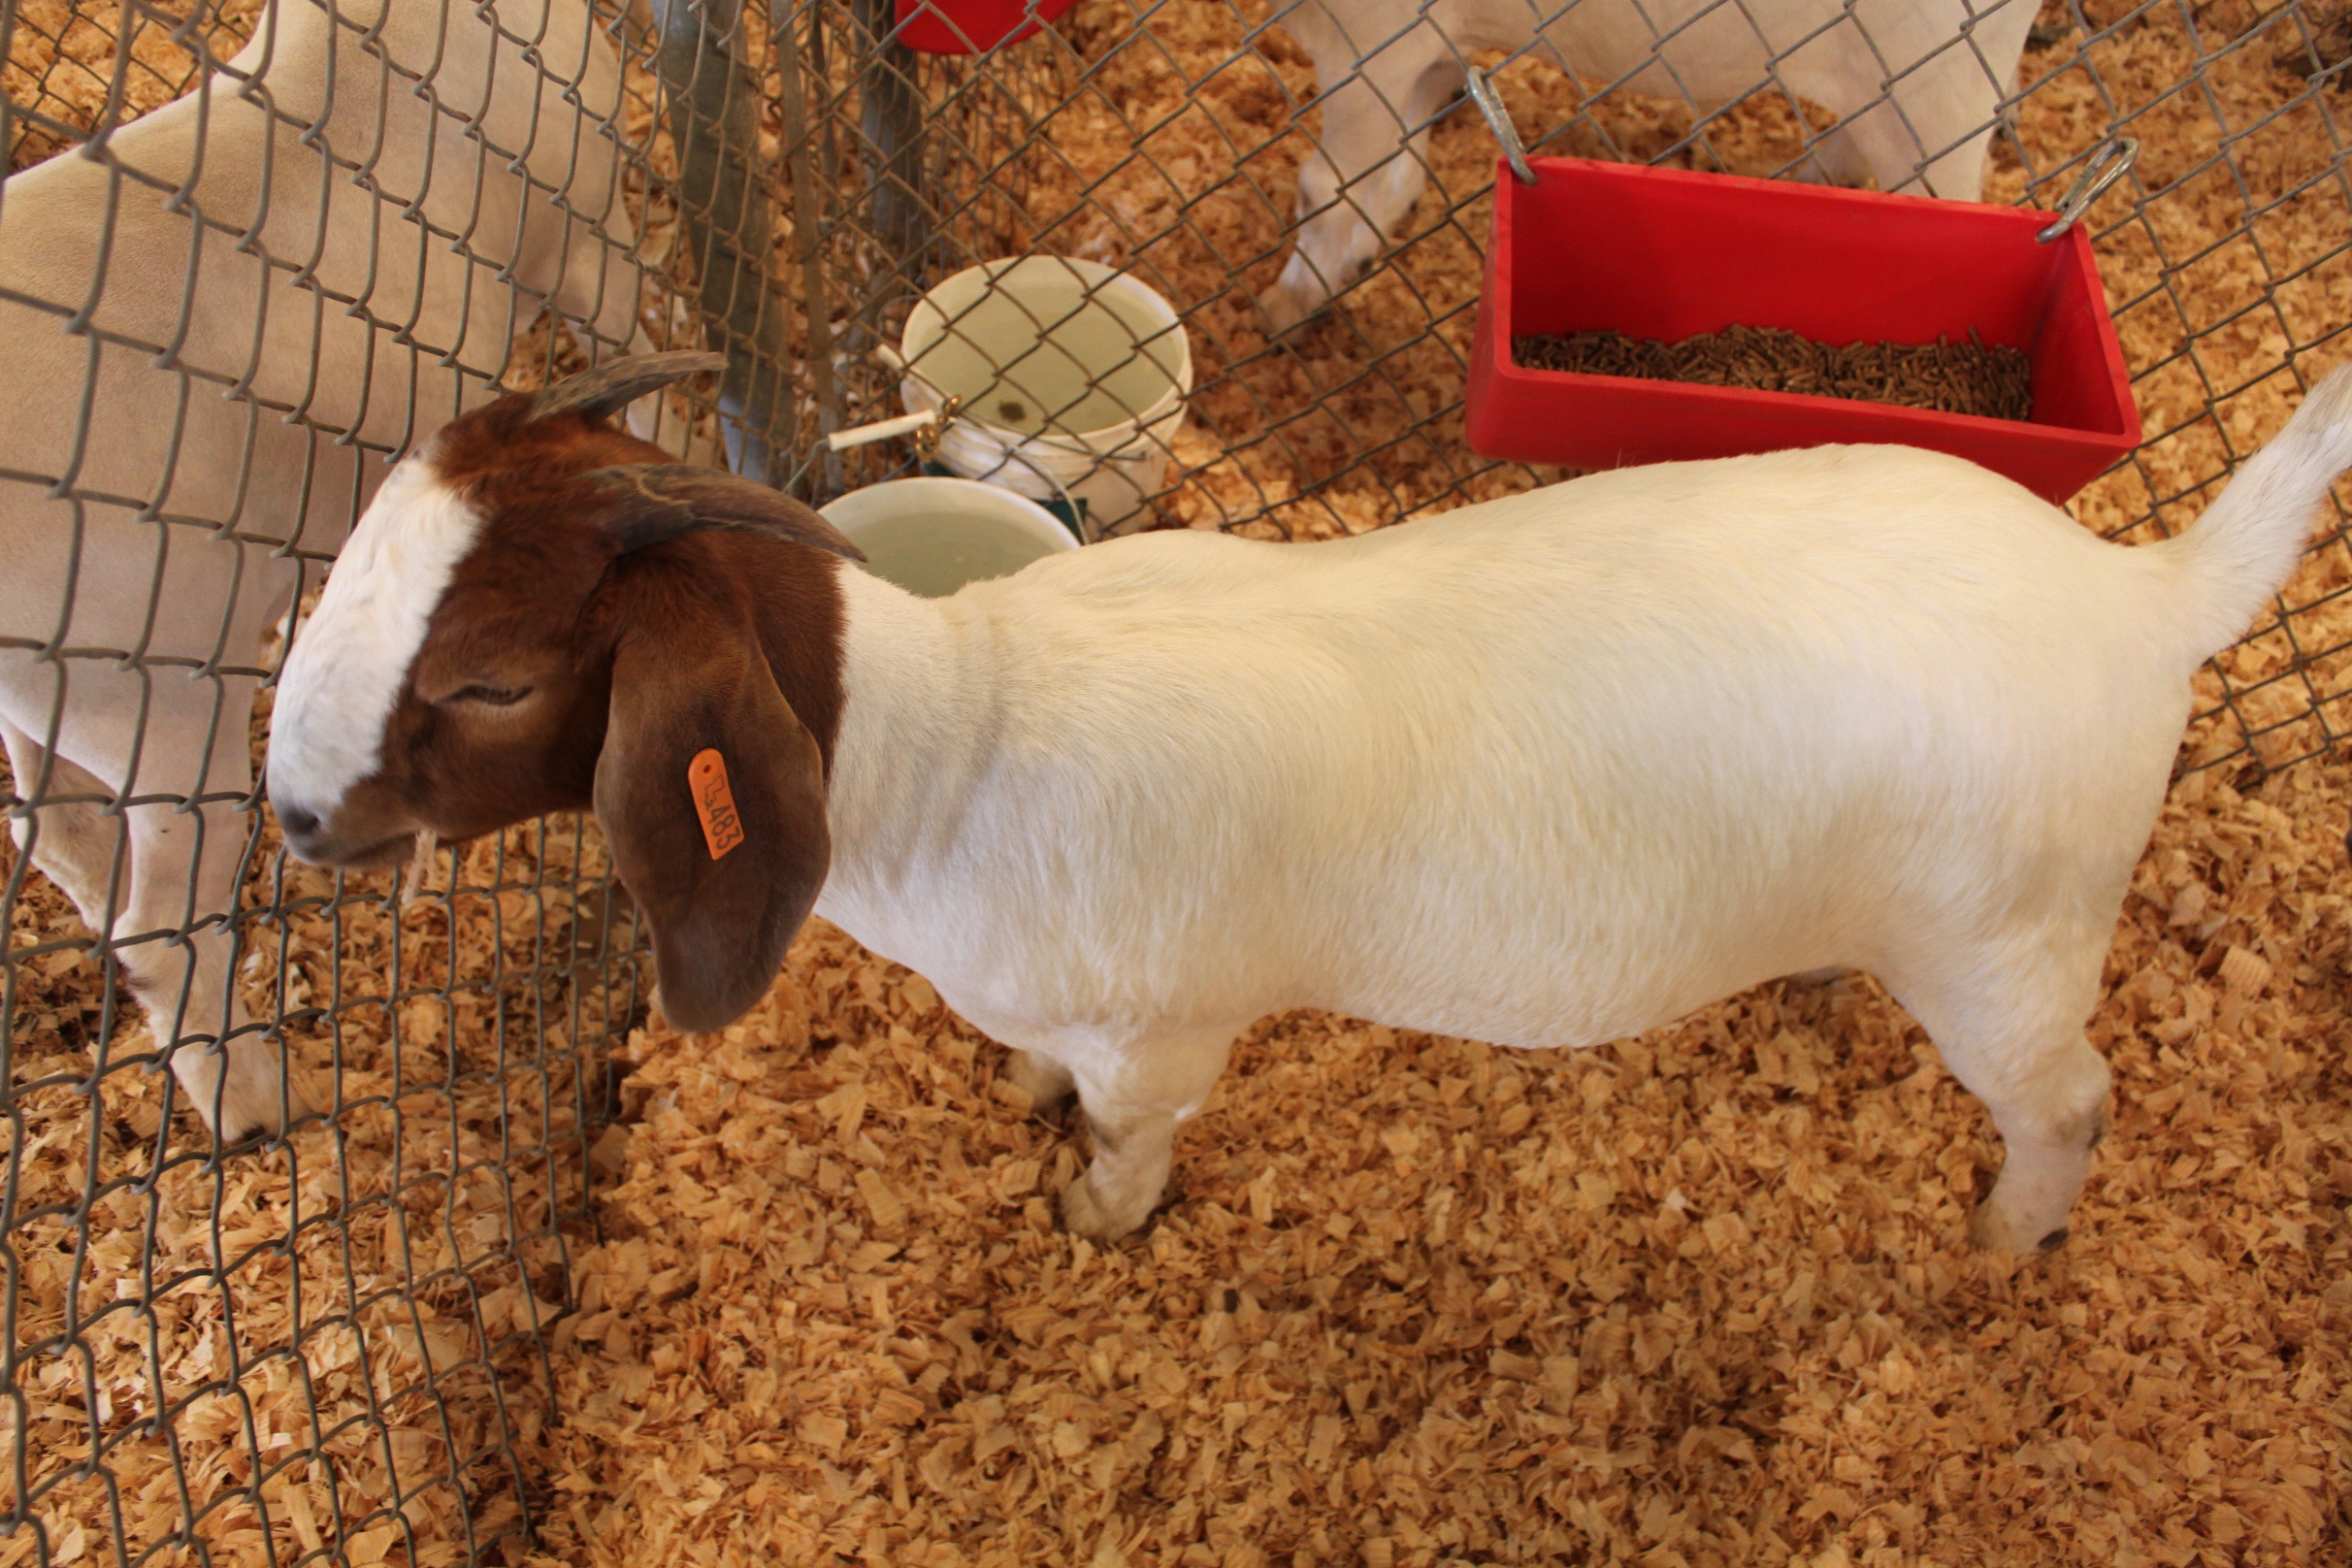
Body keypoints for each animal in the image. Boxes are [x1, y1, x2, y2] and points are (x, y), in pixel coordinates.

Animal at [0, 0, 659, 1144]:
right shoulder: (582, 235)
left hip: (53, 693)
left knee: (64, 840)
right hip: (151, 689)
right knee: (159, 920)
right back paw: (258, 1102)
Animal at [264, 352, 2351, 1252]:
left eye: (490, 681)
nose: (287, 817)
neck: (951, 745)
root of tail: (2143, 595)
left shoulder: (1165, 1027)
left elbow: (1126, 1146)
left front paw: (1090, 1225)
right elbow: (1037, 1074)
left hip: (2014, 945)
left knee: (2069, 1103)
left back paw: (2004, 1244)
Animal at [1262, 0, 2040, 330]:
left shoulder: (1371, 40)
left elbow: (1329, 186)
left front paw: (1288, 308)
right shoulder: (1430, 49)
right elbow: (1395, 169)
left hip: (1938, 96)